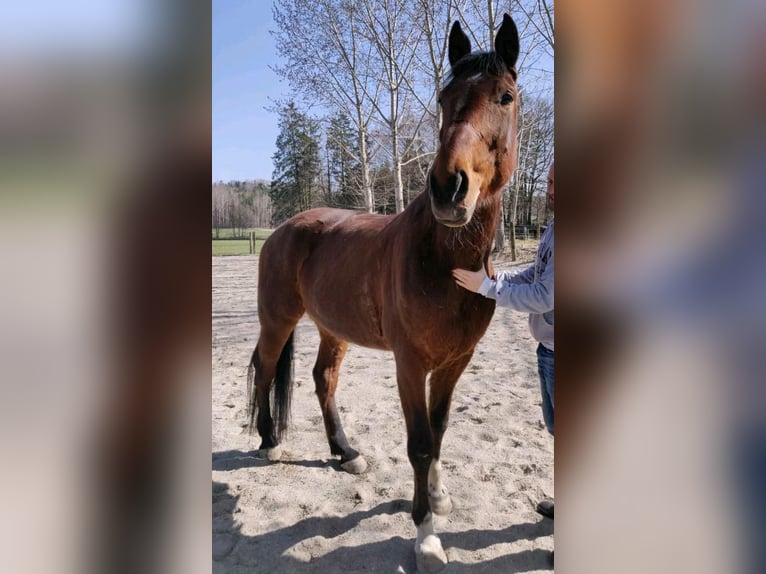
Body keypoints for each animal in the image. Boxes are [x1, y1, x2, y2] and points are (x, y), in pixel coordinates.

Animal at [248, 14, 520, 574]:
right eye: (444, 96)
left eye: (504, 96)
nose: (449, 189)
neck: (442, 260)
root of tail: (286, 228)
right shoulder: (410, 364)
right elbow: (419, 444)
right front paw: (427, 537)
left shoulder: (455, 363)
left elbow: (439, 432)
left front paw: (438, 497)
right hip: (277, 320)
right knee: (266, 371)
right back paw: (269, 442)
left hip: (332, 329)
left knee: (322, 379)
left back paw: (346, 452)